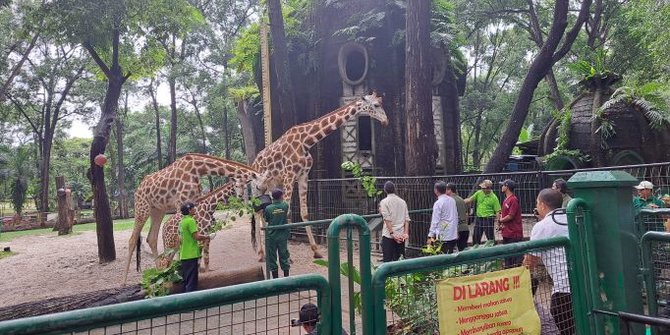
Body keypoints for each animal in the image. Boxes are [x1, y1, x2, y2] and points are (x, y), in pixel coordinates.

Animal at [123, 154, 268, 284]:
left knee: (151, 238)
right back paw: (126, 281)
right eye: (259, 186)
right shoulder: (180, 201)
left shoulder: (195, 199)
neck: (197, 168)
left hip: (157, 210)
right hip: (142, 207)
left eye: (246, 186)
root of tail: (138, 189)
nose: (260, 200)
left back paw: (160, 273)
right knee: (132, 240)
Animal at [251, 92, 388, 260]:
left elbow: (304, 212)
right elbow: (287, 212)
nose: (386, 121)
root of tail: (254, 161)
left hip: (270, 186)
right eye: (376, 105)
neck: (306, 141)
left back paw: (265, 247)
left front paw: (316, 250)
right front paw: (287, 255)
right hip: (257, 187)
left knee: (261, 211)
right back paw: (260, 253)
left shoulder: (303, 176)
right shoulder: (289, 175)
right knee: (256, 212)